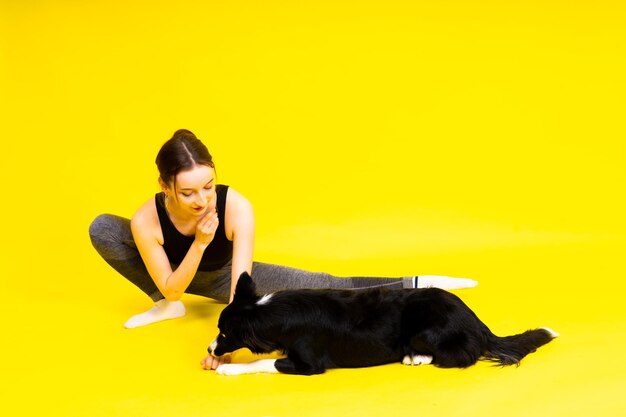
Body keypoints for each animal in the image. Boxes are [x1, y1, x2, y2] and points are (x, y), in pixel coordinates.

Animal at [210, 272, 556, 376]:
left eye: (224, 333)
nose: (210, 349)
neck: (273, 311)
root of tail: (477, 322)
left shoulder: (308, 364)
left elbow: (266, 362)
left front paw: (231, 368)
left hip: (428, 329)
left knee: (461, 355)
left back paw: (416, 357)